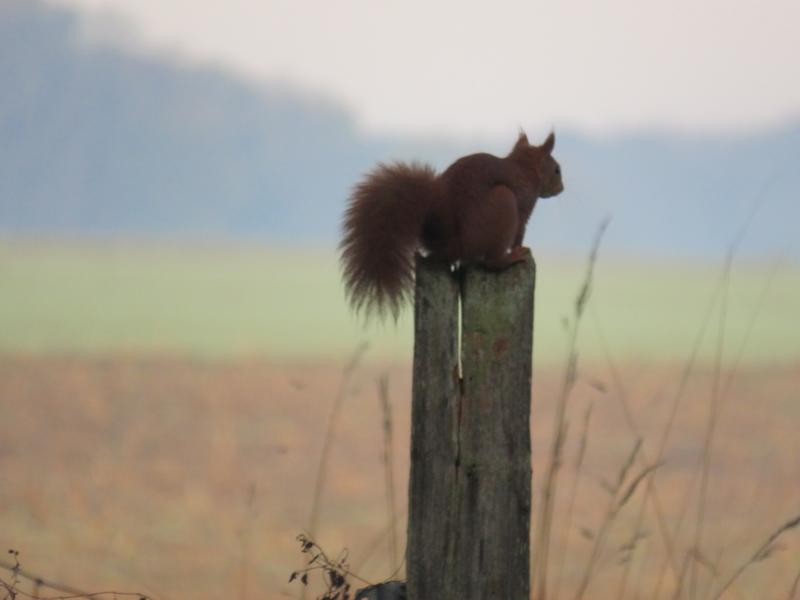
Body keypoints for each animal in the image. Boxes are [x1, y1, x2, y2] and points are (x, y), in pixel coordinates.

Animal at [340, 130, 564, 318]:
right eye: (556, 170)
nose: (561, 188)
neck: (523, 168)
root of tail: (450, 242)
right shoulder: (523, 205)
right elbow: (519, 233)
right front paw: (520, 248)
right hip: (503, 204)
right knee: (492, 262)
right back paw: (511, 257)